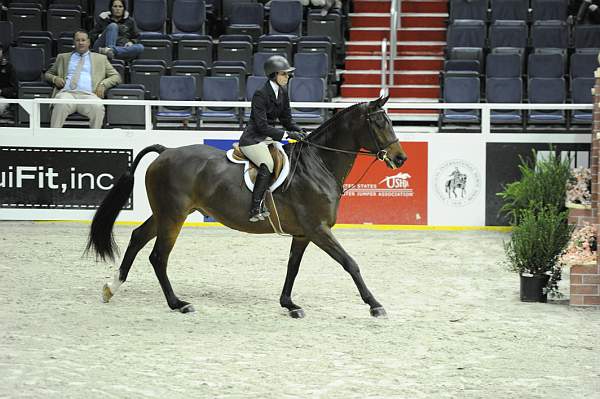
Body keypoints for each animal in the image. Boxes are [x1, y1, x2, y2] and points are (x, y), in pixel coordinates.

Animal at [85, 95, 408, 320]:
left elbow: (292, 268)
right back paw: (179, 304)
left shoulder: (303, 234)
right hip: (173, 216)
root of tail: (166, 151)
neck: (319, 164)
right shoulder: (318, 230)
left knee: (138, 238)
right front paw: (375, 305)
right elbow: (350, 263)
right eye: (380, 123)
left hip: (167, 214)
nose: (400, 158)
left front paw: (289, 305)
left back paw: (111, 288)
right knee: (158, 257)